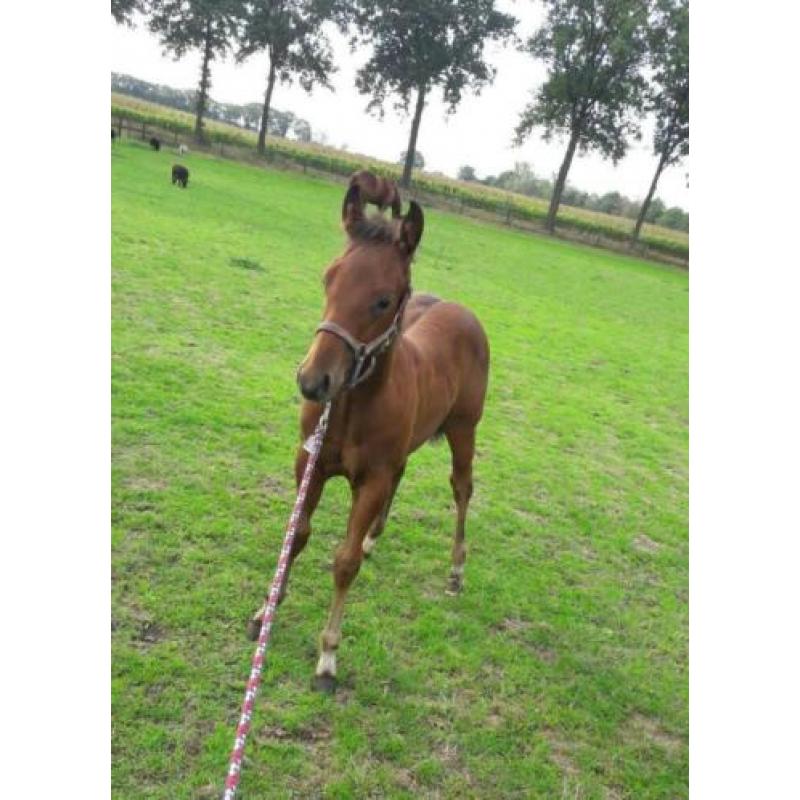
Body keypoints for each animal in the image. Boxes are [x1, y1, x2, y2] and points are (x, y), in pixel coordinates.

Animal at [247, 184, 490, 693]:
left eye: (383, 300)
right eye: (329, 278)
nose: (313, 381)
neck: (349, 408)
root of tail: (463, 311)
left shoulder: (371, 479)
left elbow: (344, 561)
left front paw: (328, 656)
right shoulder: (310, 463)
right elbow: (296, 536)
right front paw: (264, 613)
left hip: (464, 428)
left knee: (462, 488)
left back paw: (456, 569)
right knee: (406, 471)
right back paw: (375, 538)